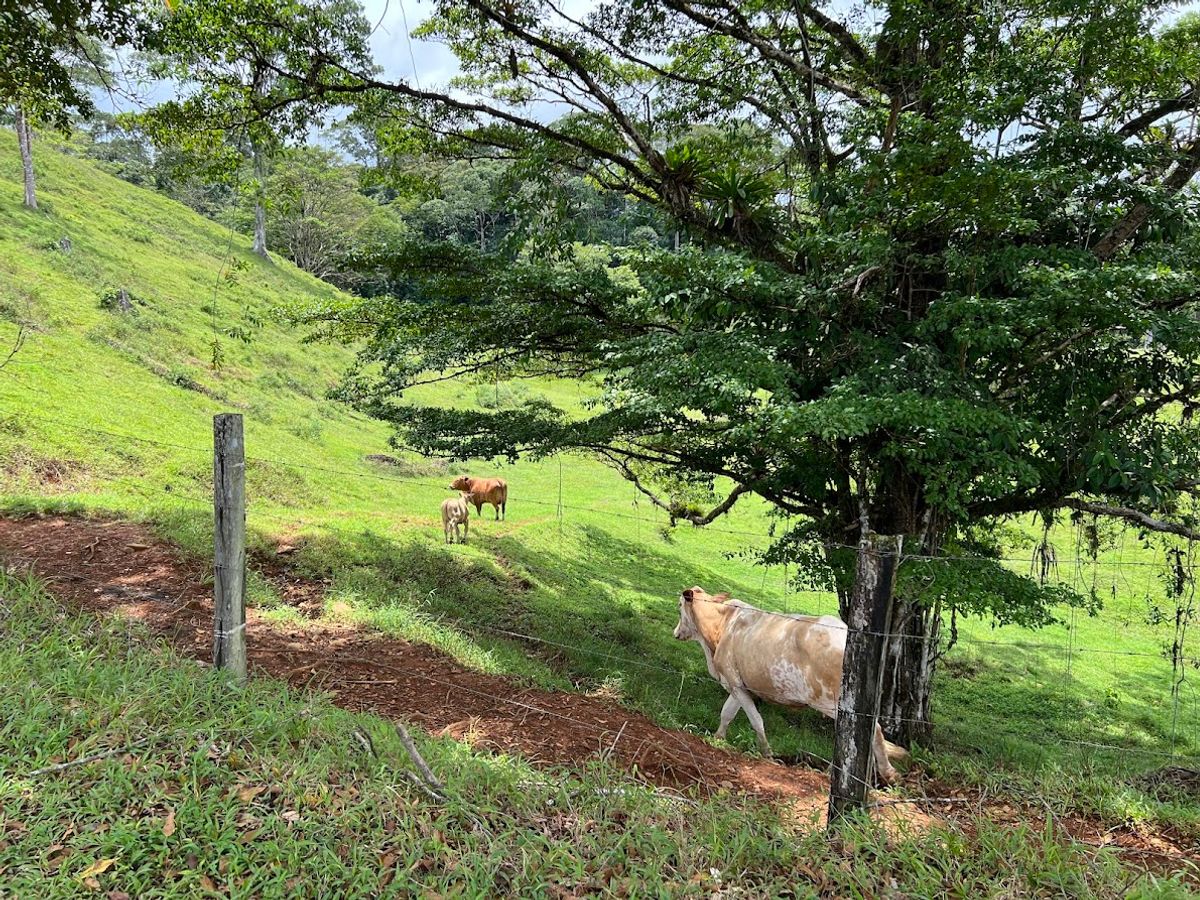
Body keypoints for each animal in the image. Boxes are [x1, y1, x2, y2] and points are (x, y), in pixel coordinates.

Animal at [673, 586, 906, 785]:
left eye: (679, 607)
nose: (676, 633)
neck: (720, 627)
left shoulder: (734, 681)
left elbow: (756, 720)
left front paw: (767, 754)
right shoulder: (739, 684)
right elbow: (727, 713)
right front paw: (717, 738)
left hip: (832, 702)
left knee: (868, 731)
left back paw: (878, 772)